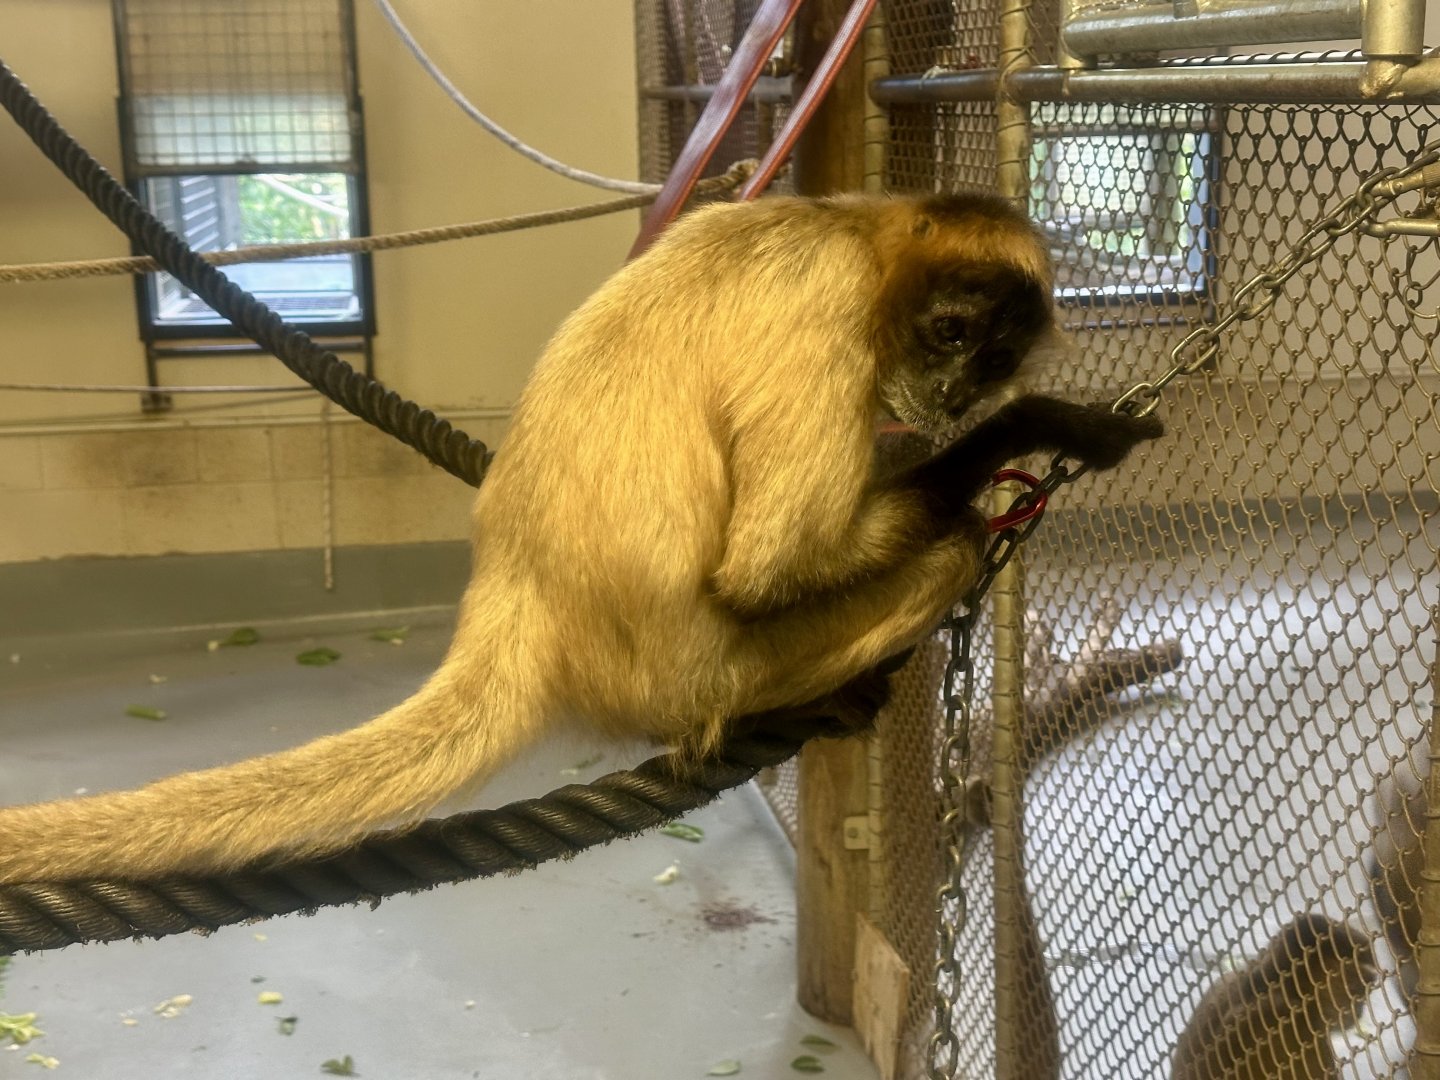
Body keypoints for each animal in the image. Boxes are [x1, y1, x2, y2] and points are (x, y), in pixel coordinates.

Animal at [0, 192, 1162, 884]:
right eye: (950, 330)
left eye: (994, 351)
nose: (961, 392)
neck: (852, 223)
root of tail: (522, 595)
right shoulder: (829, 297)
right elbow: (767, 569)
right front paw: (1043, 428)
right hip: (714, 675)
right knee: (949, 546)